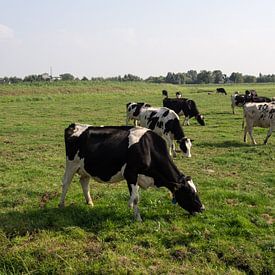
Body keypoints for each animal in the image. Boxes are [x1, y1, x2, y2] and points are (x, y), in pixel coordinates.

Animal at [58, 125, 205, 222]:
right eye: (190, 193)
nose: (202, 208)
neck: (148, 147)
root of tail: (74, 125)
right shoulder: (131, 174)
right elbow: (135, 198)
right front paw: (138, 218)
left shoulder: (138, 177)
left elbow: (136, 196)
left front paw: (135, 215)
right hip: (71, 164)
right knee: (65, 183)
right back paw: (61, 205)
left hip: (86, 167)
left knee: (84, 182)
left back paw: (90, 203)